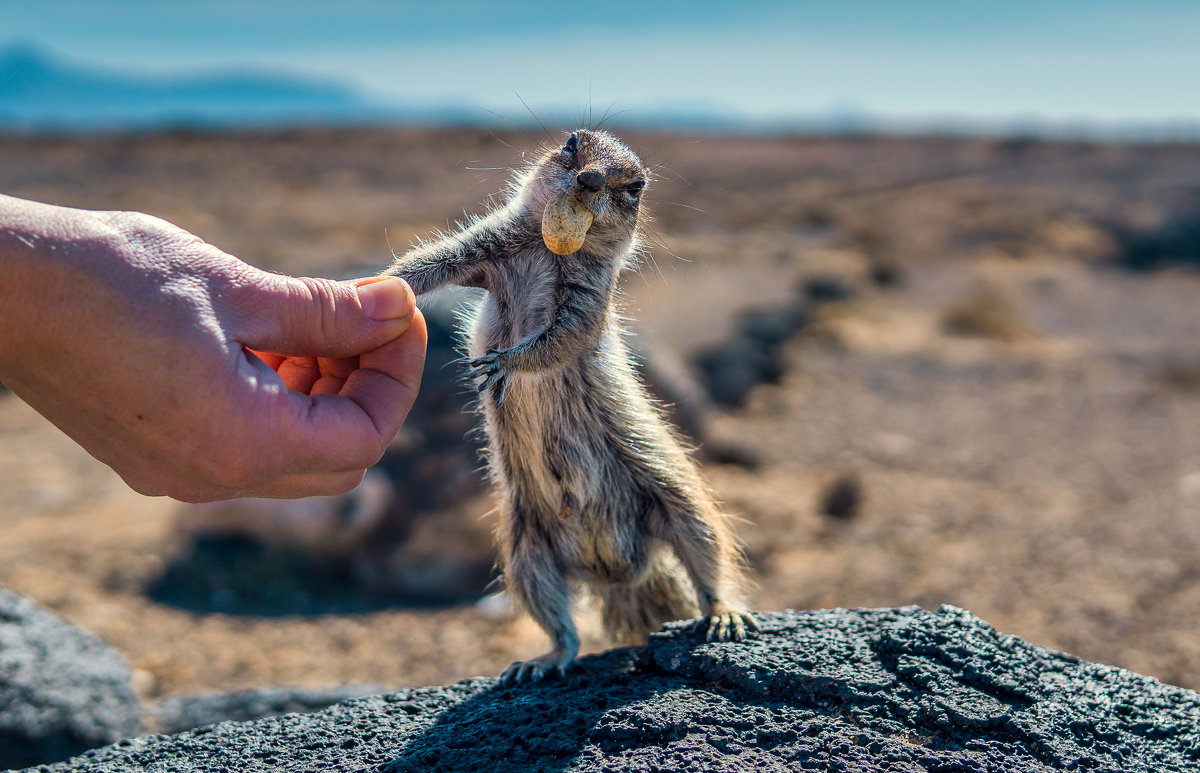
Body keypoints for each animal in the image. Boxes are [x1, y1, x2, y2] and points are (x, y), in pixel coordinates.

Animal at [384, 129, 758, 686]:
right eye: (572, 143)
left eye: (636, 186)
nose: (589, 179)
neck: (545, 248)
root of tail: (620, 571)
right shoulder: (484, 249)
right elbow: (435, 260)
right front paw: (380, 282)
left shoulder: (588, 296)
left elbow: (562, 338)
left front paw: (508, 363)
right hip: (524, 549)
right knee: (561, 625)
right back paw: (541, 660)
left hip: (674, 494)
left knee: (707, 555)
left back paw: (723, 612)